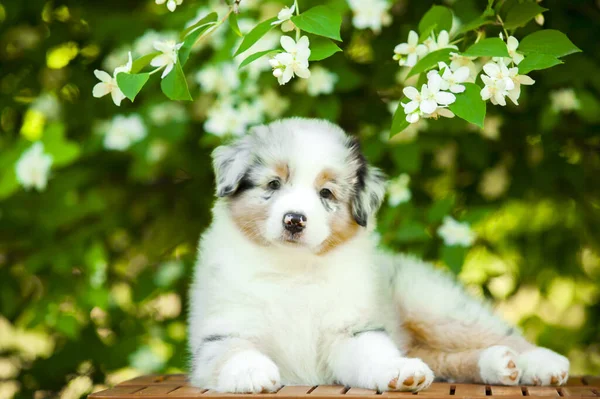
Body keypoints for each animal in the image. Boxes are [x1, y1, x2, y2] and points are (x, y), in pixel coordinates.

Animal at [190, 119, 568, 394]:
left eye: (326, 193)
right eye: (272, 185)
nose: (294, 220)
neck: (292, 268)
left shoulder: (351, 329)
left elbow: (374, 352)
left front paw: (398, 370)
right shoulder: (221, 329)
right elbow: (233, 350)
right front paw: (251, 371)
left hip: (435, 306)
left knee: (500, 334)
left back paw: (542, 364)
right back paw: (499, 365)